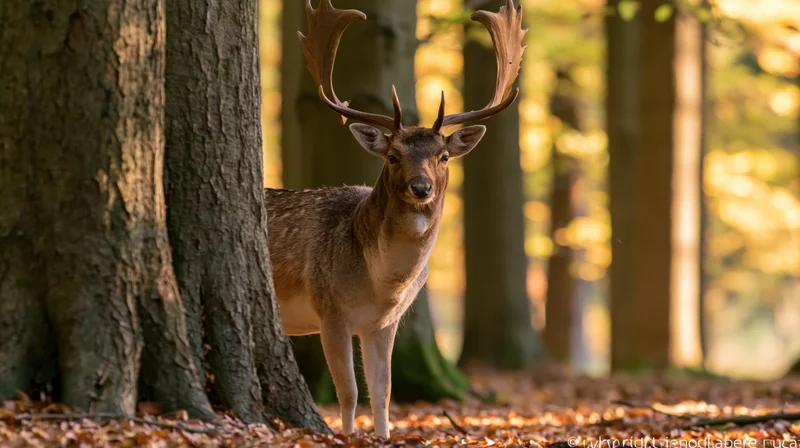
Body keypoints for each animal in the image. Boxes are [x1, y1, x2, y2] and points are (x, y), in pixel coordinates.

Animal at [264, 0, 526, 438]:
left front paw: (383, 437)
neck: (382, 284)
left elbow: (383, 392)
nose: (421, 187)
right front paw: (348, 437)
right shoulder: (329, 309)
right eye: (392, 156)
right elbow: (349, 391)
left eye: (444, 156)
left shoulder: (385, 323)